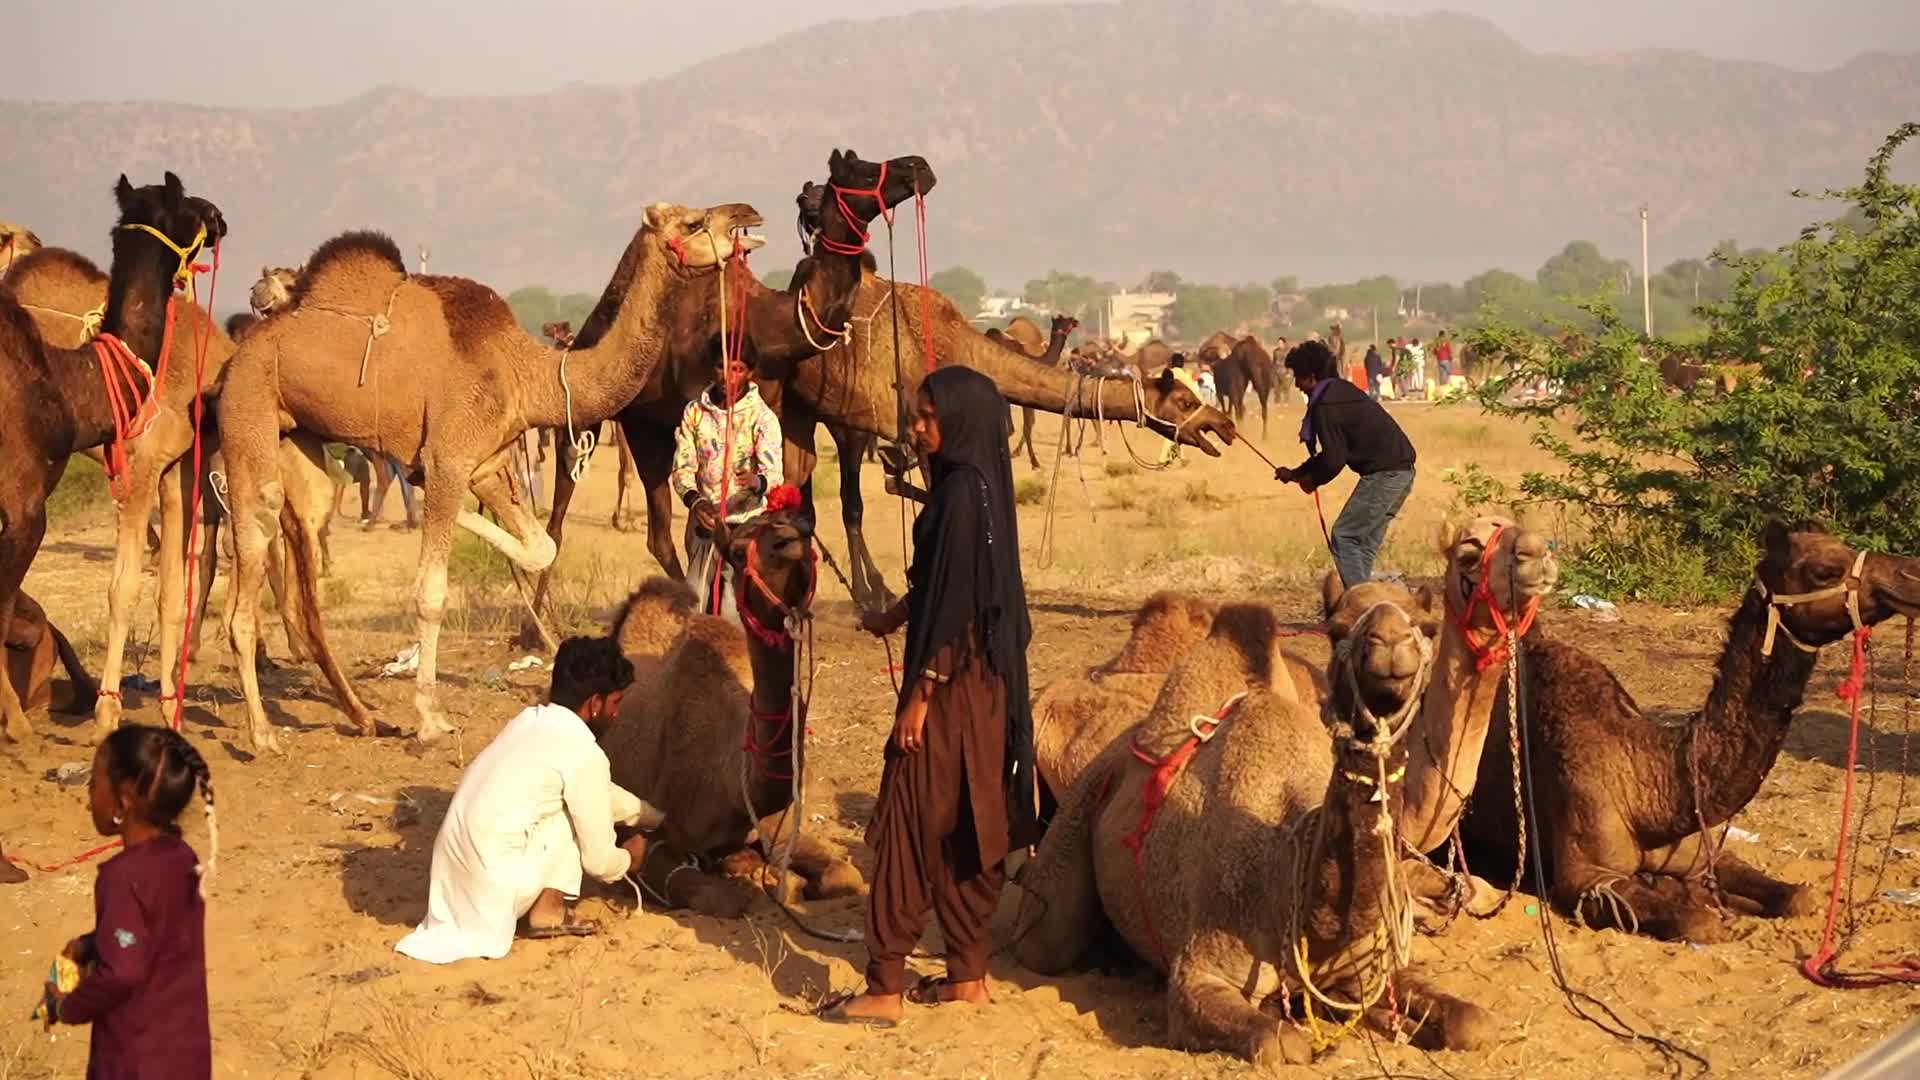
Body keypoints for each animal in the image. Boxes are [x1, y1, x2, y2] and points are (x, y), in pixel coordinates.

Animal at [0, 172, 226, 741]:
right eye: (188, 204)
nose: (219, 217)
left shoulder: (165, 468)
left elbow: (166, 590)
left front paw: (165, 708)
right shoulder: (33, 499)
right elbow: (124, 588)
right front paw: (100, 713)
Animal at [217, 201, 766, 752]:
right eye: (694, 223)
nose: (748, 216)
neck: (531, 376)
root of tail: (239, 352)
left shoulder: (487, 465)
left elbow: (540, 546)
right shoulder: (451, 456)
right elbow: (431, 592)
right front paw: (431, 719)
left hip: (300, 439)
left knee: (304, 539)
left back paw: (362, 716)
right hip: (248, 409)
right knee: (253, 547)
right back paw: (263, 734)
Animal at [600, 504, 864, 914]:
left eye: (809, 538)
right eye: (738, 552)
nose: (790, 535)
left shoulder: (776, 824)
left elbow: (844, 875)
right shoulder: (657, 828)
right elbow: (724, 897)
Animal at [1016, 517, 1558, 1064]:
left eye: (1425, 627)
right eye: (1469, 551)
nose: (1534, 552)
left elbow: (1472, 1020)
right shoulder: (1200, 974)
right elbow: (1282, 1042)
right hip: (1069, 845)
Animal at [1459, 521, 1920, 942]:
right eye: (1826, 570)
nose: (1911, 575)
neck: (1649, 784)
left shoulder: (1700, 852)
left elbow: (1798, 897)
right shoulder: (1586, 877)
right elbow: (1700, 923)